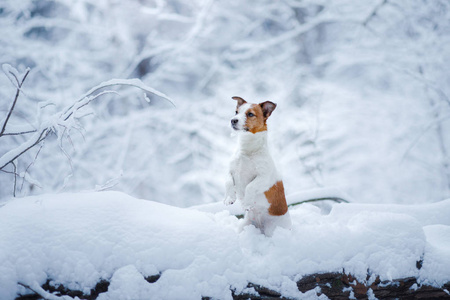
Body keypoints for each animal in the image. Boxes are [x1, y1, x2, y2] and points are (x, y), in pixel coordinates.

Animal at [225, 96, 292, 237]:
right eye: (236, 112)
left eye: (250, 114)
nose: (233, 120)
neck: (247, 151)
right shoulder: (231, 171)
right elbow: (228, 182)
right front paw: (229, 198)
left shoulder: (264, 178)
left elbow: (250, 187)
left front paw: (247, 203)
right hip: (244, 225)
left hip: (273, 229)